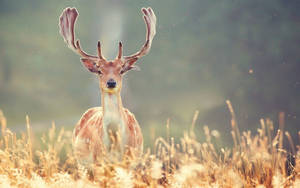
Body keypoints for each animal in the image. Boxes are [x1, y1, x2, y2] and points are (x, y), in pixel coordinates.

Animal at [59, 6, 157, 164]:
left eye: (121, 70)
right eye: (99, 70)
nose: (111, 82)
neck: (114, 144)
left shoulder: (131, 161)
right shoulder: (97, 161)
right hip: (80, 161)